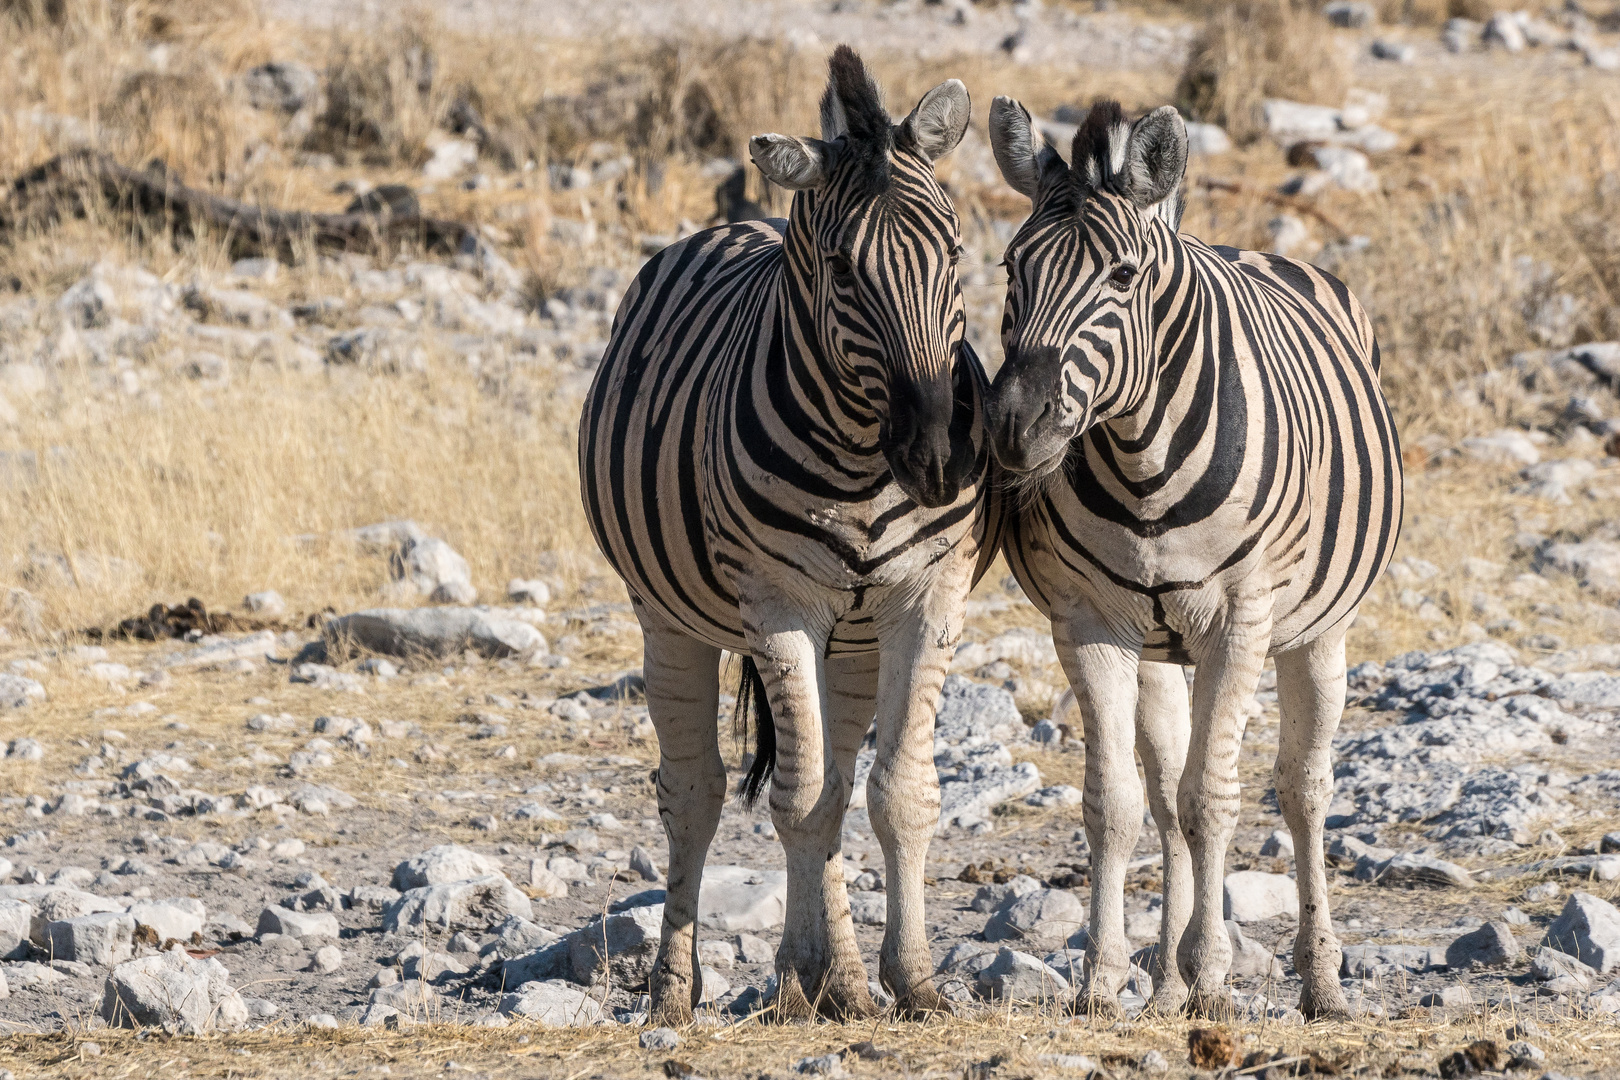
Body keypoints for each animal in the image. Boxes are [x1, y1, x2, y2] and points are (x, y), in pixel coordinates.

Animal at [576, 50, 991, 1029]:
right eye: (842, 270)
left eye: (955, 252)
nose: (940, 458)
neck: (866, 460)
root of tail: (743, 217)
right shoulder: (778, 604)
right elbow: (797, 803)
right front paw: (823, 976)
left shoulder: (929, 594)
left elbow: (897, 793)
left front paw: (909, 983)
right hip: (668, 616)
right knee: (694, 792)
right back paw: (677, 992)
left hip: (855, 637)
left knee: (836, 781)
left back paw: (821, 980)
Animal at [978, 95, 1399, 1023]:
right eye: (1010, 270)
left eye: (1122, 277)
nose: (1015, 428)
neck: (1142, 464)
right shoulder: (1090, 624)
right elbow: (1116, 804)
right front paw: (1104, 981)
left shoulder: (1239, 622)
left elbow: (1214, 799)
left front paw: (1213, 978)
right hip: (1160, 646)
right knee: (1165, 794)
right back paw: (1164, 984)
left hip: (1320, 631)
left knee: (1302, 788)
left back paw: (1320, 982)